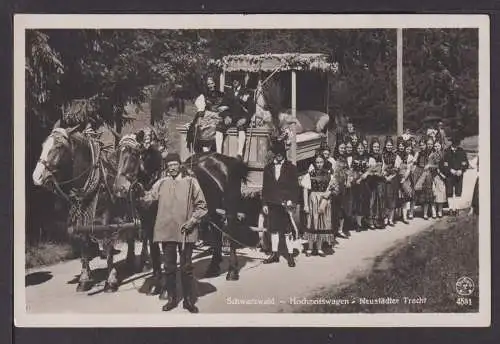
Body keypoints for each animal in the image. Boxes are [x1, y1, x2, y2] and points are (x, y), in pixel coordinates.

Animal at [31, 121, 141, 292]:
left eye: (59, 146)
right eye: (43, 145)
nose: (37, 177)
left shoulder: (106, 218)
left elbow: (108, 245)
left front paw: (111, 280)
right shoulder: (81, 216)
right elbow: (84, 243)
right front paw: (84, 279)